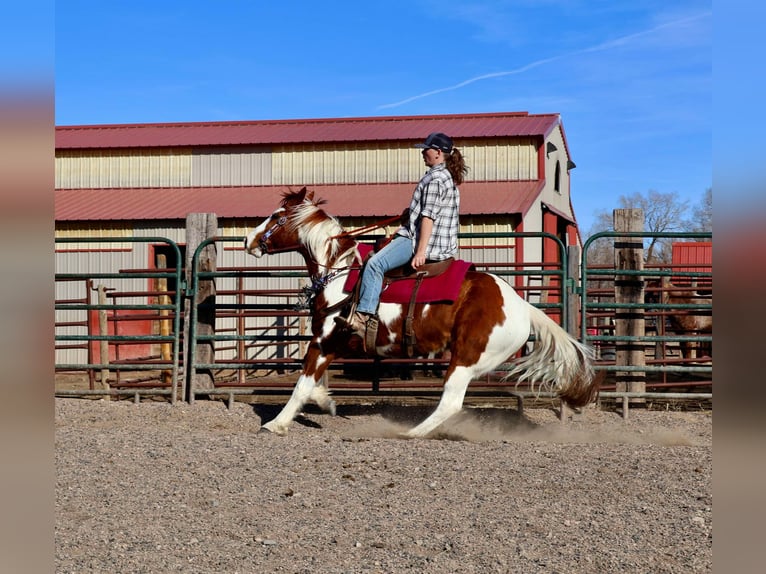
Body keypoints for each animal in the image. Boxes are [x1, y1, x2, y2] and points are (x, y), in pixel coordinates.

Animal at [244, 187, 598, 438]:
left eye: (276, 216)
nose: (248, 240)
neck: (339, 273)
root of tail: (520, 305)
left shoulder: (324, 340)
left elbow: (302, 384)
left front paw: (276, 424)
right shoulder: (333, 344)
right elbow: (314, 384)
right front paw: (326, 402)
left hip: (466, 357)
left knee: (451, 402)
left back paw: (409, 433)